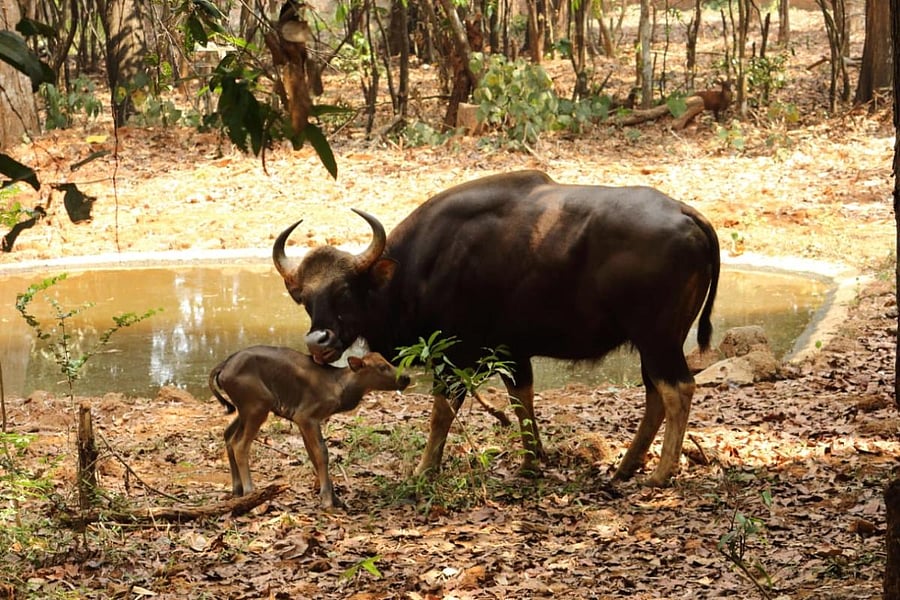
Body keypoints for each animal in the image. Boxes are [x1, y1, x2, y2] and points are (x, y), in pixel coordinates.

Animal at [272, 170, 720, 486]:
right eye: (304, 298)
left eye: (345, 290)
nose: (319, 341)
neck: (416, 269)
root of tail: (687, 214)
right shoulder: (514, 352)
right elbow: (522, 402)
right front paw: (533, 461)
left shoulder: (453, 356)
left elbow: (441, 413)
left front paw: (424, 469)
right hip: (651, 344)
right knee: (656, 395)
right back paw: (626, 467)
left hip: (659, 338)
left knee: (678, 389)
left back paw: (660, 474)